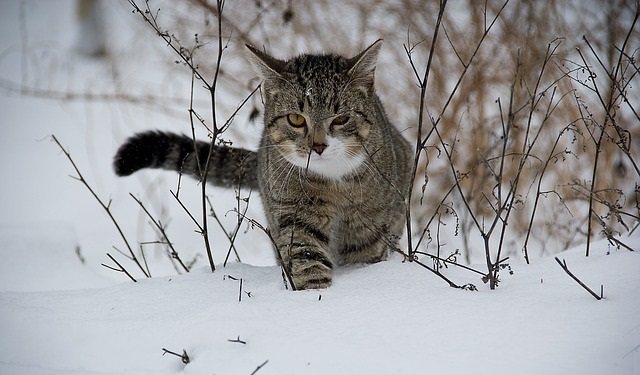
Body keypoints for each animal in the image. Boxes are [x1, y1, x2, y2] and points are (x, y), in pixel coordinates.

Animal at [114, 39, 416, 290]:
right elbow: (306, 256)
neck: (333, 181)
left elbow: (364, 255)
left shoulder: (368, 225)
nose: (318, 146)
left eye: (341, 118)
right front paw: (315, 295)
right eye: (296, 119)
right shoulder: (294, 212)